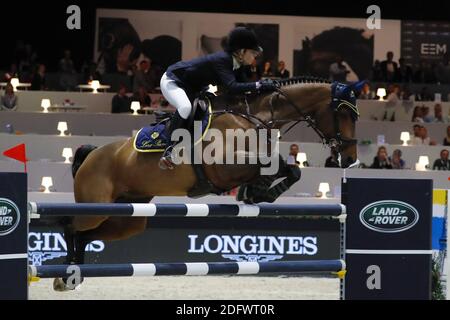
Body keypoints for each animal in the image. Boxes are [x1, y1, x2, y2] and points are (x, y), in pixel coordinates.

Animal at [53, 77, 362, 290]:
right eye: (344, 114)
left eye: (356, 116)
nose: (350, 159)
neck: (254, 119)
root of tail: (92, 153)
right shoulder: (222, 169)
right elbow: (270, 163)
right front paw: (257, 189)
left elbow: (290, 169)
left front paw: (258, 192)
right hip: (95, 209)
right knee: (71, 226)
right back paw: (65, 276)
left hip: (129, 217)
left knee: (86, 235)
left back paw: (74, 275)